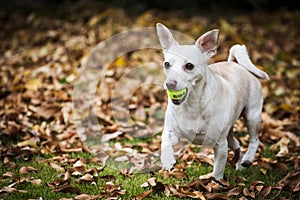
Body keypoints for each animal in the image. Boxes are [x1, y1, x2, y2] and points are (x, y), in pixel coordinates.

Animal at [157, 23, 270, 180]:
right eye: (167, 64)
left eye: (189, 66)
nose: (169, 84)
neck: (192, 105)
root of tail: (237, 65)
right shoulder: (172, 132)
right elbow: (165, 143)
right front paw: (168, 161)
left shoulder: (220, 145)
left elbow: (218, 169)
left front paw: (216, 182)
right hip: (230, 135)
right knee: (237, 145)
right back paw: (240, 165)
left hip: (252, 116)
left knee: (254, 139)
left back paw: (248, 158)